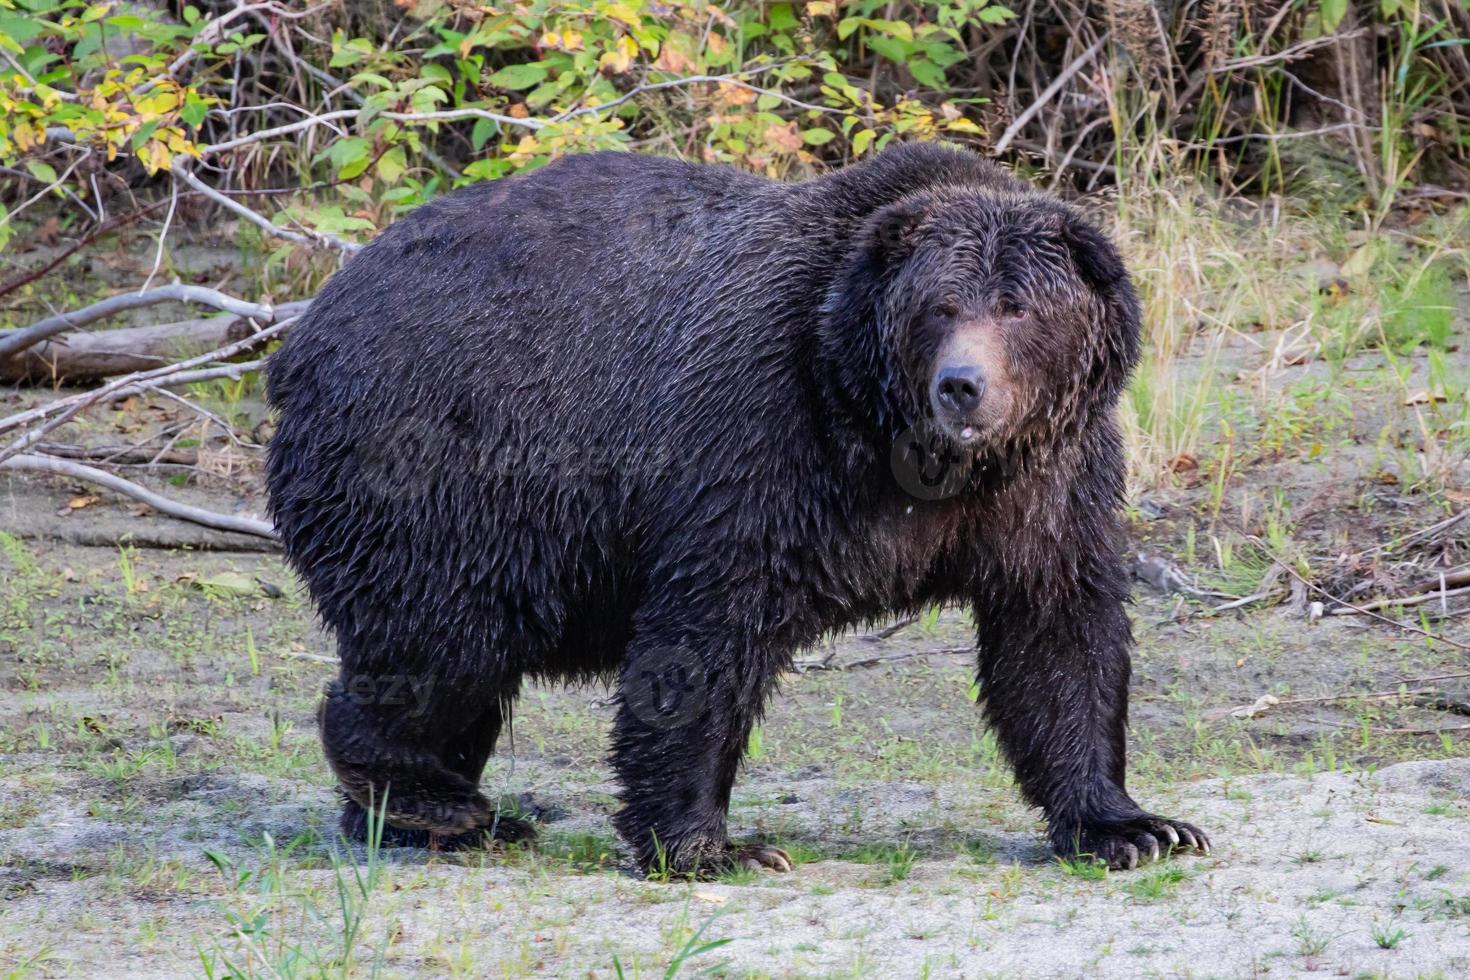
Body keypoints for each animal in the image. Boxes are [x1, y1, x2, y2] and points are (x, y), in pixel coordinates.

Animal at [264, 143, 1205, 875]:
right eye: (940, 306)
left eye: (1017, 307)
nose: (962, 386)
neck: (909, 451)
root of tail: (304, 330)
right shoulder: (762, 437)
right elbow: (708, 635)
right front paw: (712, 844)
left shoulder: (1048, 485)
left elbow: (1058, 635)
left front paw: (1135, 826)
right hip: (442, 470)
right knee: (442, 647)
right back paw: (431, 803)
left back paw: (431, 816)